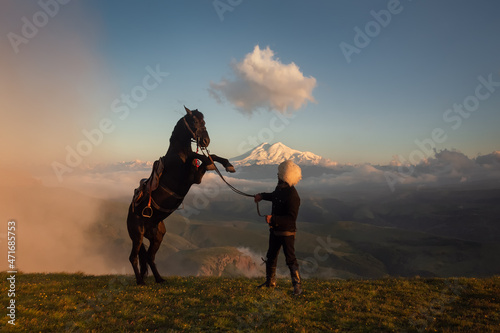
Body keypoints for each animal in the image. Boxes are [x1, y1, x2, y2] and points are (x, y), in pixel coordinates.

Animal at [125, 105, 234, 282]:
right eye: (195, 121)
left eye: (204, 121)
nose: (206, 141)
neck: (179, 154)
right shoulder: (192, 177)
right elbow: (203, 158)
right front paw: (215, 163)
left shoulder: (195, 175)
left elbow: (208, 157)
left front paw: (228, 165)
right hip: (138, 236)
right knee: (134, 257)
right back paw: (141, 282)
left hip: (157, 236)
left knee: (149, 257)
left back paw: (159, 279)